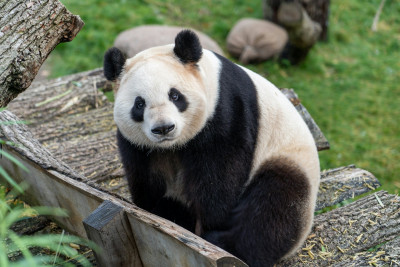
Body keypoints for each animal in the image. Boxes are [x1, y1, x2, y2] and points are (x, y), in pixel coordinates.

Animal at [104, 29, 320, 267]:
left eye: (175, 95)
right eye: (139, 104)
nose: (163, 128)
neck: (173, 146)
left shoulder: (226, 110)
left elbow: (220, 175)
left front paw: (209, 222)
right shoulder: (137, 145)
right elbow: (146, 178)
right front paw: (156, 212)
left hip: (287, 160)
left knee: (274, 206)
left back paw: (225, 243)